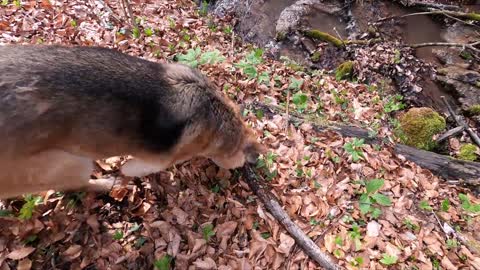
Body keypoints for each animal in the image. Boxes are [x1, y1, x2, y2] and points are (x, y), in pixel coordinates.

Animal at [0, 45, 264, 199]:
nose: (246, 167)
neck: (221, 119)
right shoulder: (156, 161)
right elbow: (134, 167)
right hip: (71, 163)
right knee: (76, 184)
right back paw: (107, 184)